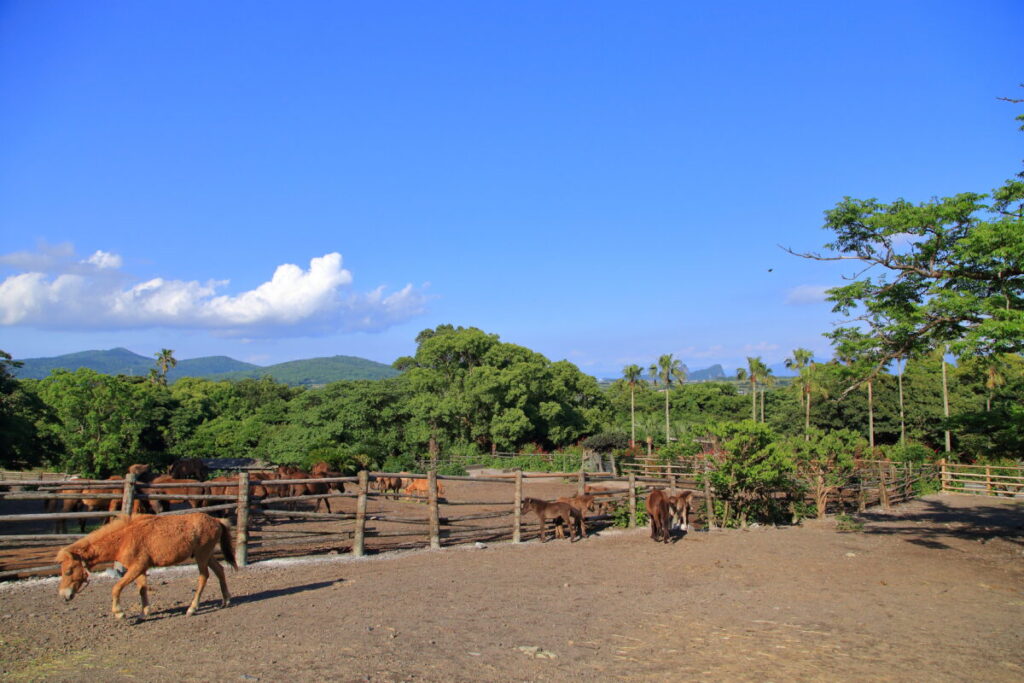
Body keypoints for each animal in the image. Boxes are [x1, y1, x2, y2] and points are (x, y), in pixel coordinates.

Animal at [56, 512, 236, 619]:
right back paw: (226, 600)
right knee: (220, 571)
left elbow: (116, 587)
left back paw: (192, 608)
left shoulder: (136, 568)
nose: (64, 595)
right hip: (207, 556)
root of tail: (216, 520)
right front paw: (145, 612)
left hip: (201, 556)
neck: (125, 538)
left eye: (69, 571)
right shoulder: (140, 569)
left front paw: (119, 613)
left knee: (204, 577)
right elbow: (142, 589)